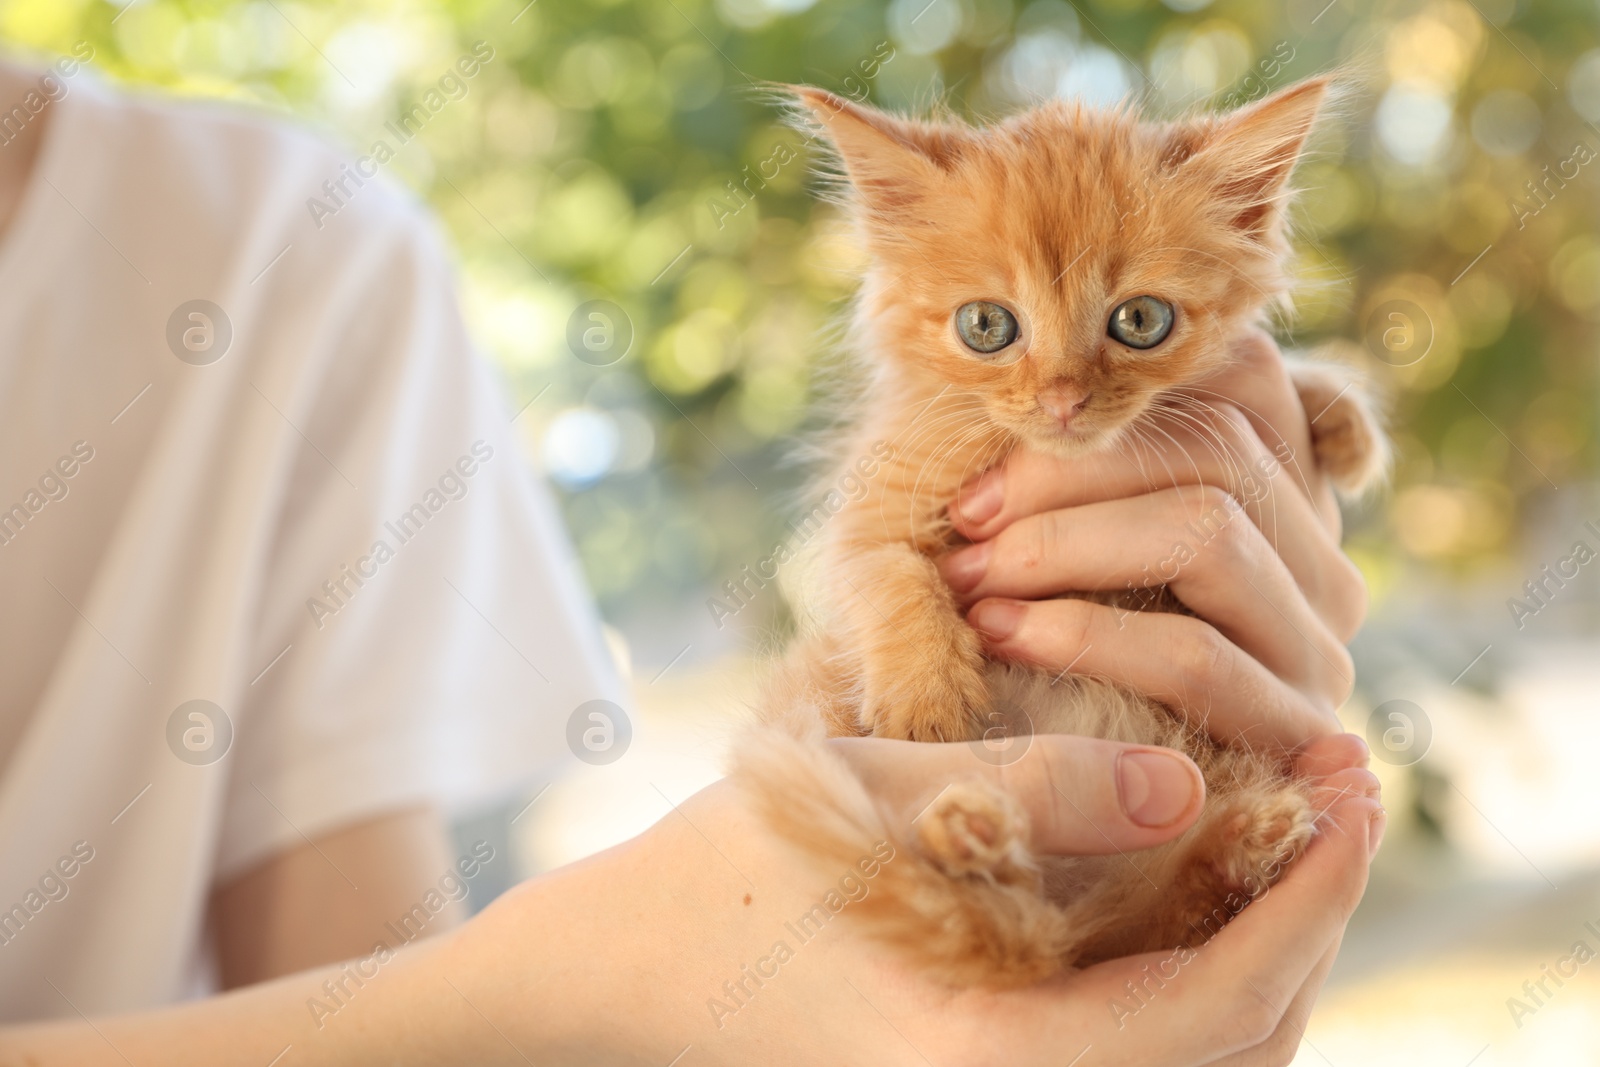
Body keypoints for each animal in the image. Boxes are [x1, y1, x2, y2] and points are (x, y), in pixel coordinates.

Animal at [729, 77, 1388, 991]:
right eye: (986, 327)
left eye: (1140, 319)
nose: (1063, 398)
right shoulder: (871, 504)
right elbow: (889, 575)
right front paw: (928, 698)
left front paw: (1342, 418)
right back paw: (970, 834)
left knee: (1156, 912)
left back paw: (1240, 841)